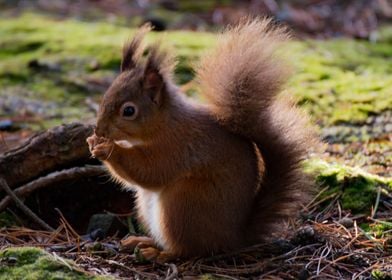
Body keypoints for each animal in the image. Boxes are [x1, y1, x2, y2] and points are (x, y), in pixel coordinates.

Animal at [86, 18, 318, 262]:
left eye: (129, 111)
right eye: (105, 97)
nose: (99, 129)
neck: (164, 123)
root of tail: (234, 238)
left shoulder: (177, 147)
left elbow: (151, 171)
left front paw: (108, 149)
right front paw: (93, 141)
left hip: (183, 205)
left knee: (187, 250)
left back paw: (158, 254)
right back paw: (141, 241)